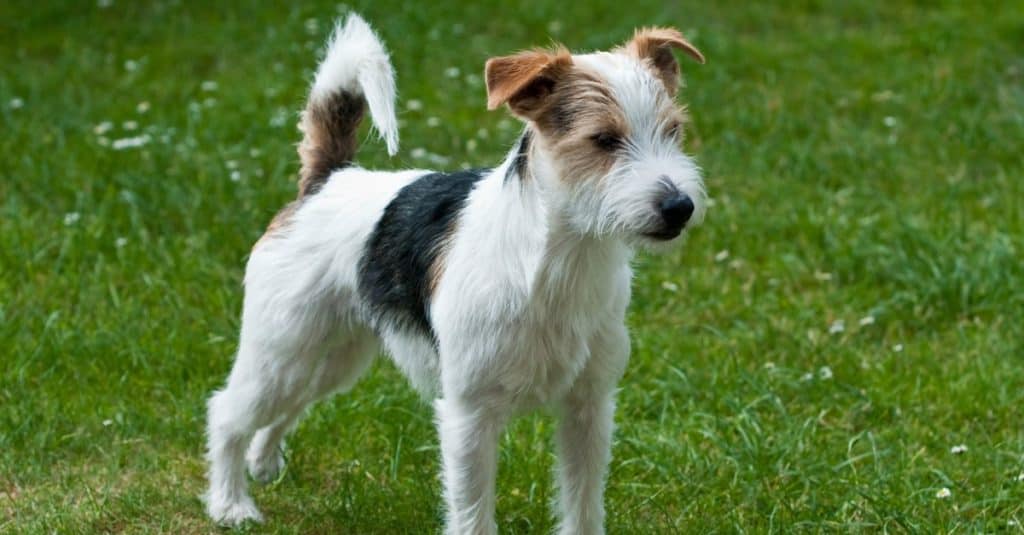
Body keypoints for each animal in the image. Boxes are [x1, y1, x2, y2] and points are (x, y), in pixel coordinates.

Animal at [203, 14, 708, 528]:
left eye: (673, 131)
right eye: (604, 139)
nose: (679, 207)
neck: (558, 262)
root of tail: (326, 181)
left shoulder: (588, 408)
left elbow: (582, 506)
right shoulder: (470, 415)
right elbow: (472, 512)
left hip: (332, 358)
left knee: (289, 405)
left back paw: (263, 461)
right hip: (281, 351)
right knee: (227, 412)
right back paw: (230, 504)